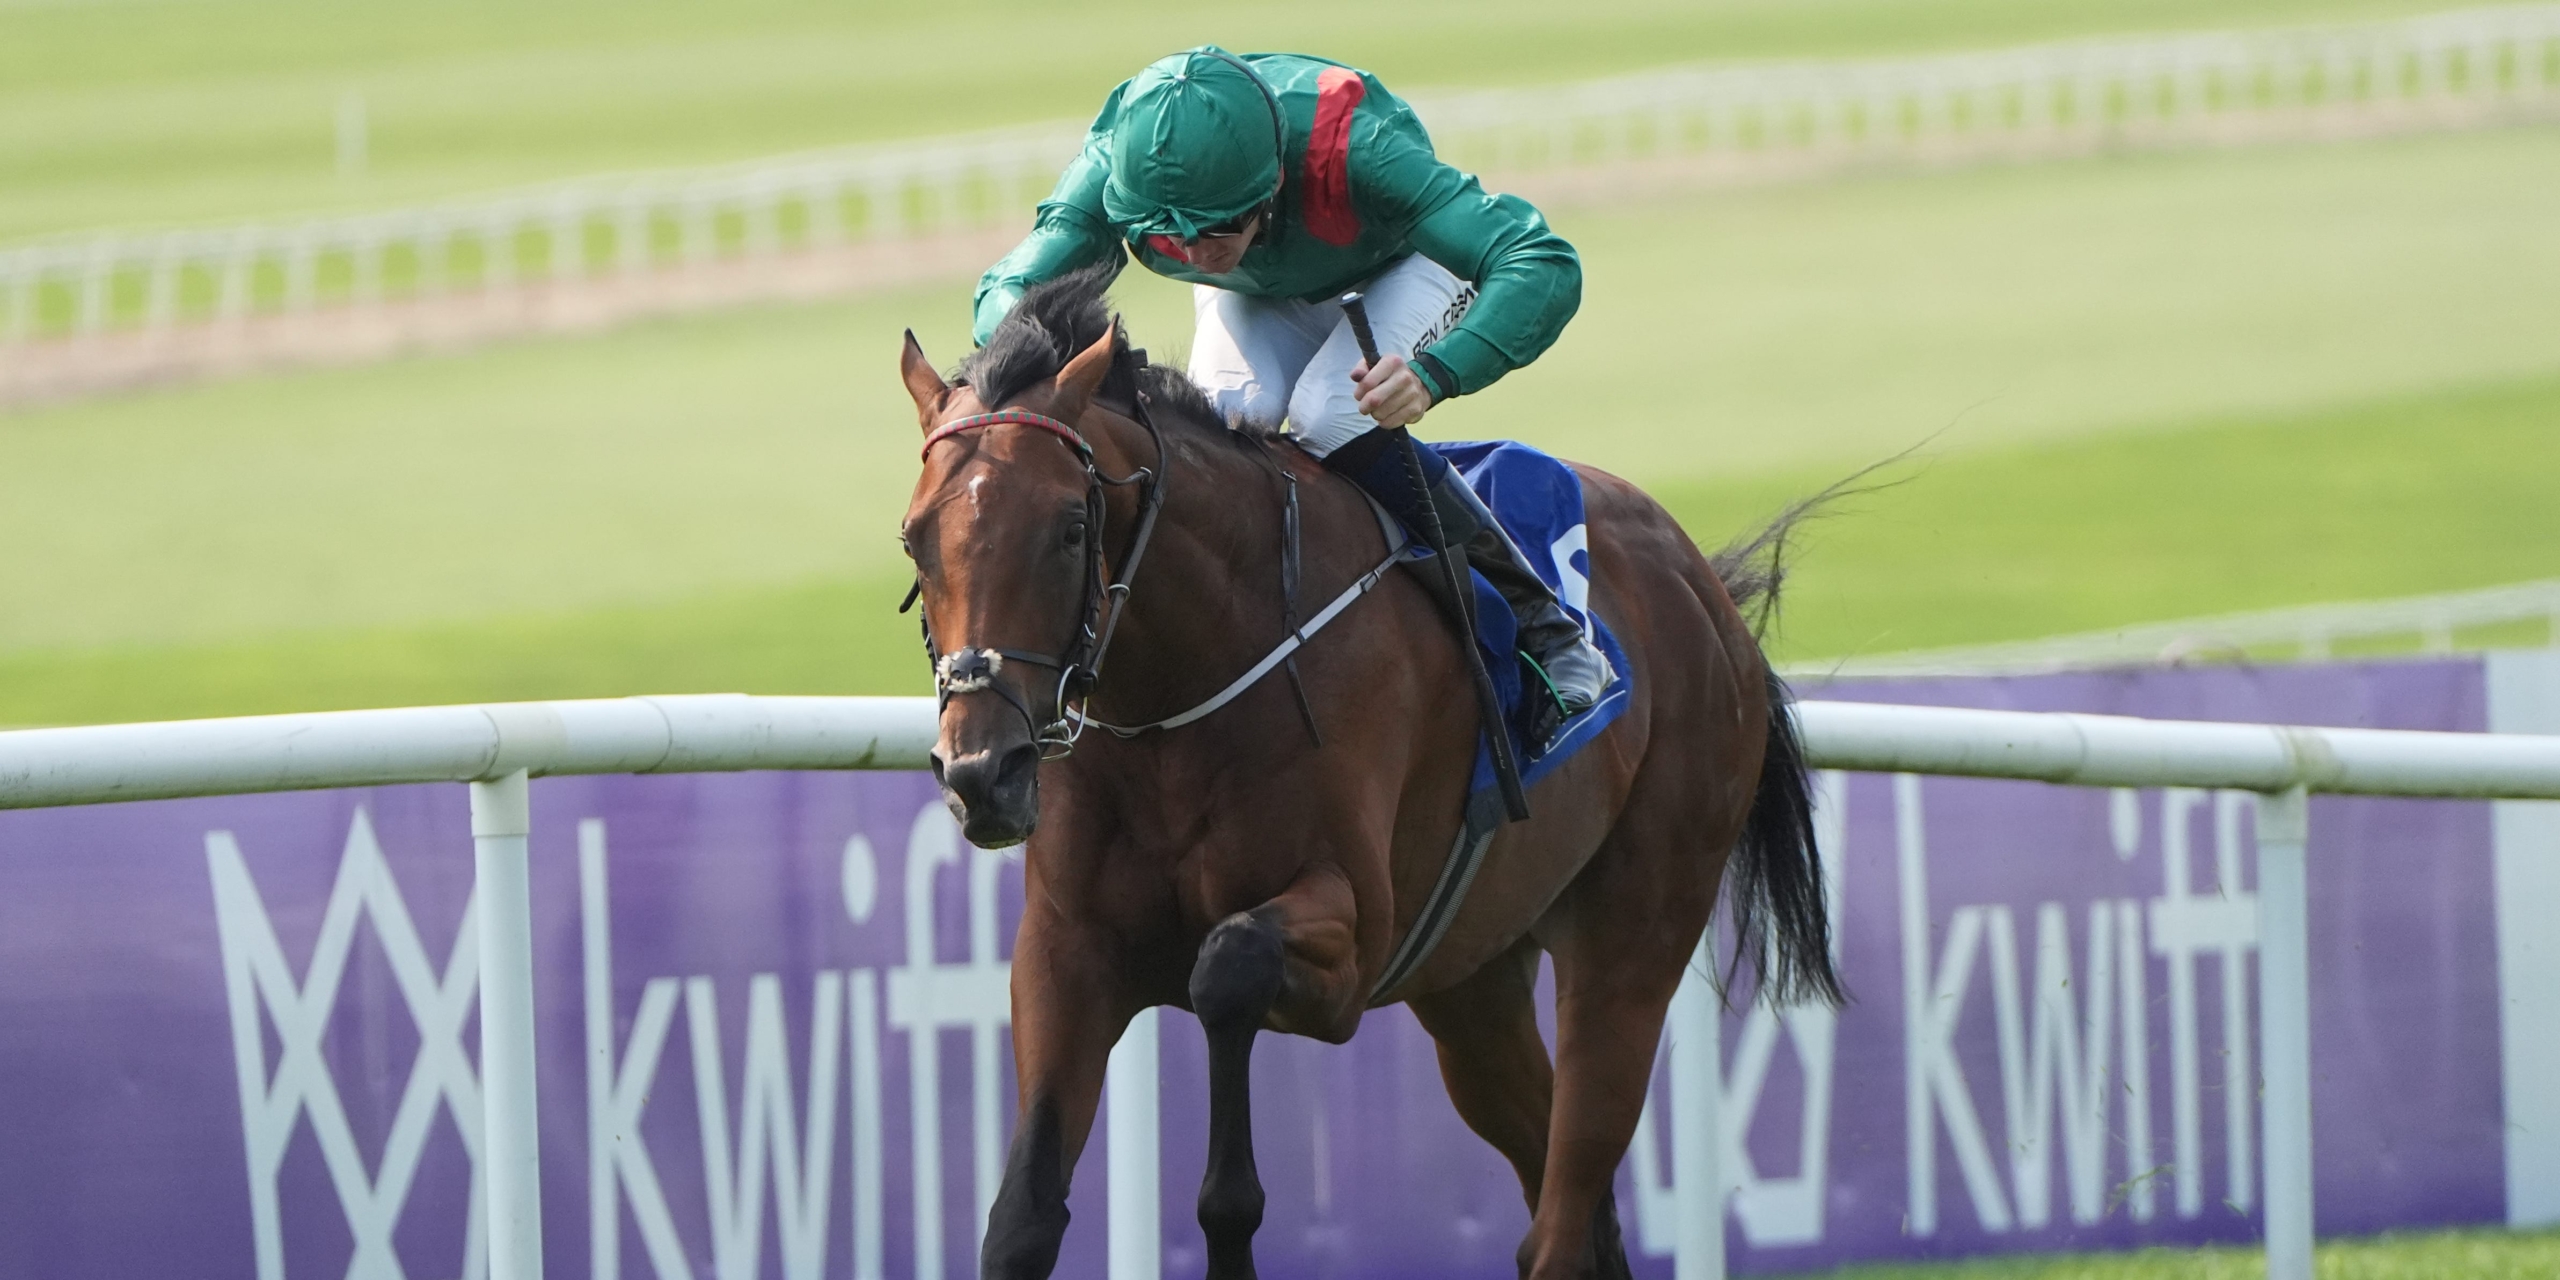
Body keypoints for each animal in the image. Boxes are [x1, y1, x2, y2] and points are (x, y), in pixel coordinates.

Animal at [895, 265, 1841, 1280]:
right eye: (914, 538)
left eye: (1071, 529)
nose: (982, 771)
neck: (1187, 686)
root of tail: (1701, 582)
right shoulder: (1068, 952)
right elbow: (1022, 1215)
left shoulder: (1352, 943)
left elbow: (1225, 973)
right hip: (1472, 984)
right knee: (1574, 1209)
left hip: (1632, 942)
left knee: (1564, 1207)